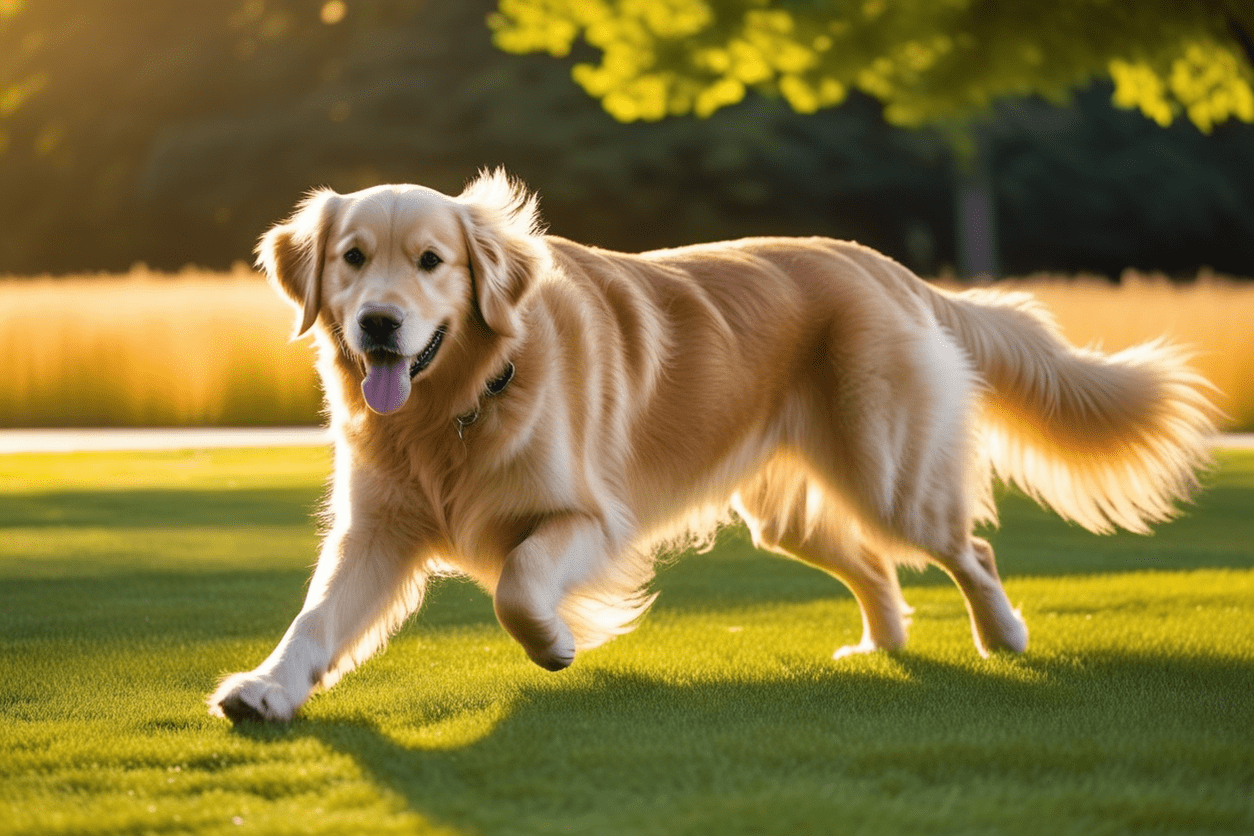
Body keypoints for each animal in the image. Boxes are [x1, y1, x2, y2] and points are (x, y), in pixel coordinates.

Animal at [210, 166, 1218, 721]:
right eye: (352, 259)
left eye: (431, 262)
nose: (379, 325)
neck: (458, 405)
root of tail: (889, 268)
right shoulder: (375, 531)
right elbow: (315, 620)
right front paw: (267, 690)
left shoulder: (589, 518)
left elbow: (518, 584)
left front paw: (557, 645)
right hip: (789, 512)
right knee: (875, 567)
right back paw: (879, 649)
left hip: (891, 474)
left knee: (969, 549)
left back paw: (1002, 636)